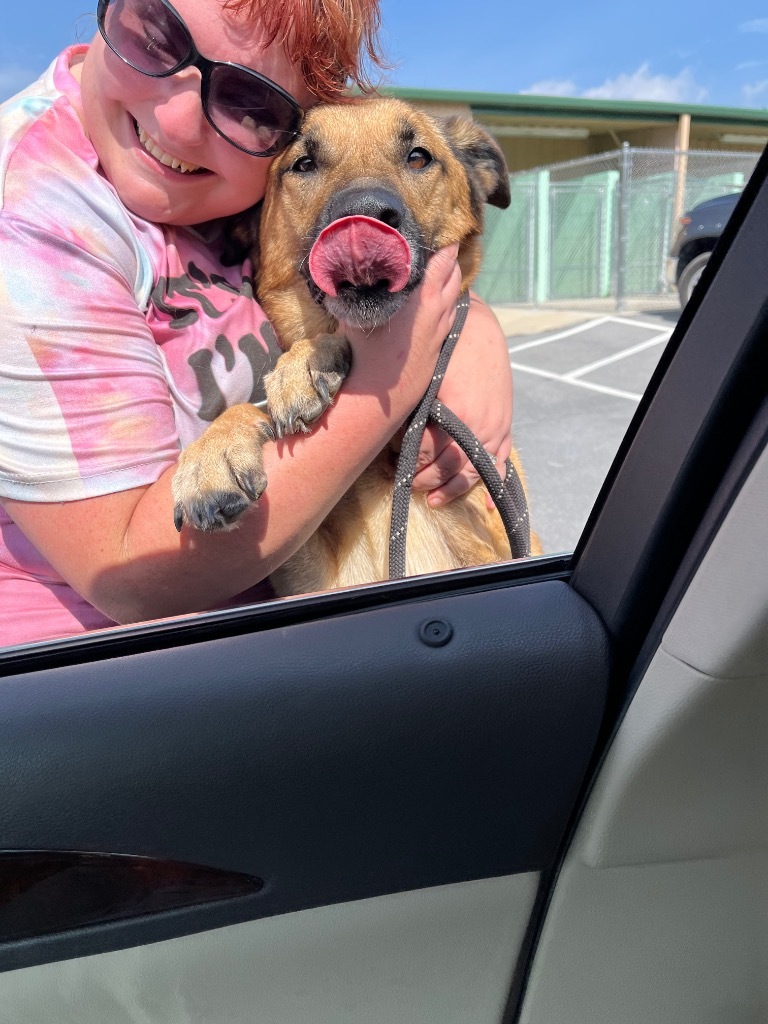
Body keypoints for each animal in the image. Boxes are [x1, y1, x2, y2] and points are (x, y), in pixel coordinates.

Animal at [171, 97, 536, 593]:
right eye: (304, 164)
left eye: (418, 157)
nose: (363, 216)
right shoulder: (309, 575)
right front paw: (211, 455)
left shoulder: (496, 540)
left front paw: (304, 365)